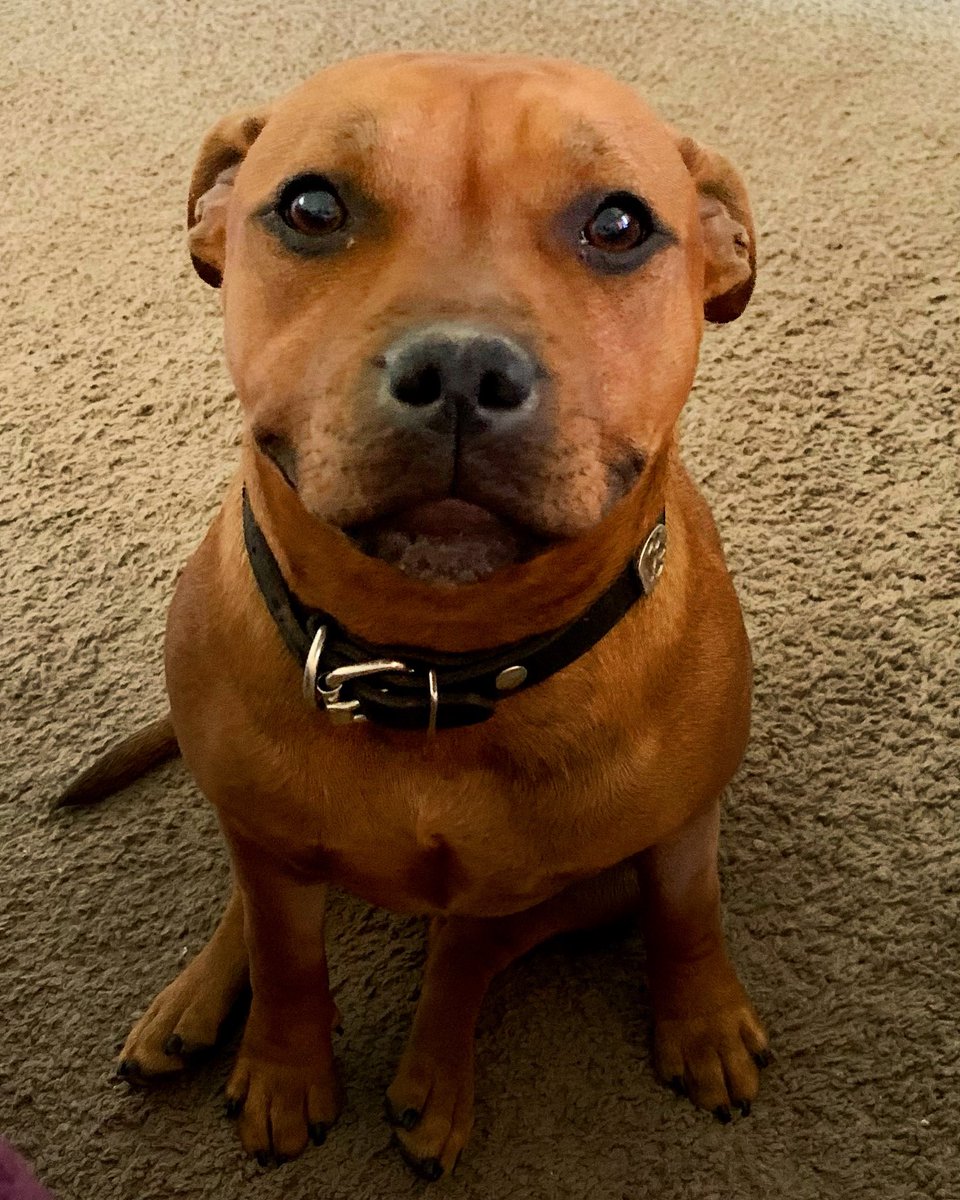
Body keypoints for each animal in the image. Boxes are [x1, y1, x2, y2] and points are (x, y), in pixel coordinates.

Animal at [60, 51, 768, 1176]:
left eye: (618, 225)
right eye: (312, 207)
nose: (463, 372)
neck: (436, 663)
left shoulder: (676, 832)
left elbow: (685, 914)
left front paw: (699, 1018)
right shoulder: (270, 845)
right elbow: (287, 953)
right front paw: (285, 1065)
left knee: (471, 939)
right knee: (261, 897)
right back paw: (195, 1003)